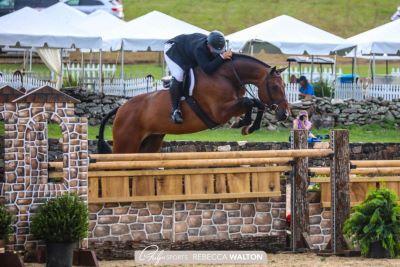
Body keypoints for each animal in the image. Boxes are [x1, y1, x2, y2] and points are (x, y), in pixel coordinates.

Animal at [97, 54, 290, 155]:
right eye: (274, 87)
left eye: (285, 86)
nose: (285, 114)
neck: (226, 76)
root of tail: (121, 108)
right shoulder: (220, 111)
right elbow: (250, 102)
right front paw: (243, 124)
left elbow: (257, 103)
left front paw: (248, 126)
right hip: (126, 144)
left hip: (150, 142)